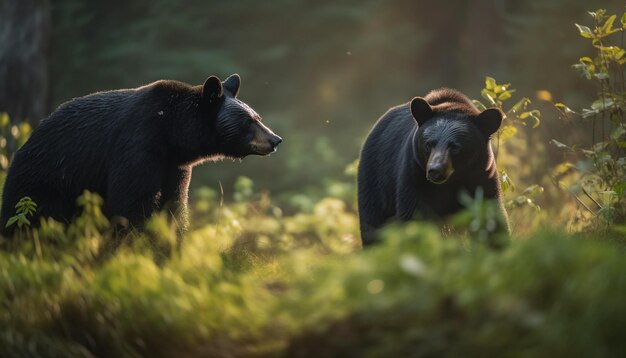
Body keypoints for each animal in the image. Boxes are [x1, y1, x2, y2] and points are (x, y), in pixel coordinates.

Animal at [0, 74, 282, 234]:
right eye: (248, 121)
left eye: (257, 117)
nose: (275, 139)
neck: (172, 132)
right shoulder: (138, 142)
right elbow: (133, 198)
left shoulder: (174, 165)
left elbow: (174, 201)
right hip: (48, 179)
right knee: (35, 216)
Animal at [356, 89, 508, 246]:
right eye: (429, 144)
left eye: (455, 147)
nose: (435, 170)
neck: (451, 182)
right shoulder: (413, 175)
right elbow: (414, 216)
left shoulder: (482, 176)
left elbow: (491, 217)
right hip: (377, 180)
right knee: (373, 223)